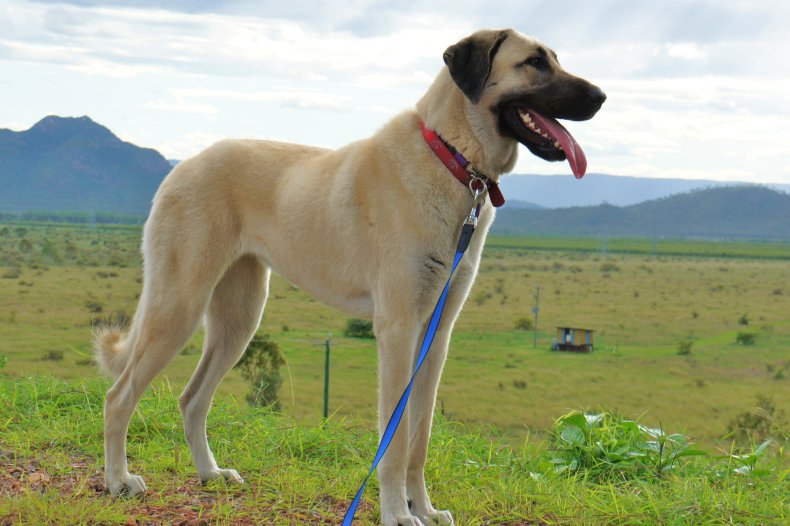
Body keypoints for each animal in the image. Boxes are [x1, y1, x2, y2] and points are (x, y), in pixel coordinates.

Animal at [96, 29, 608, 526]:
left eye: (554, 58)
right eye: (534, 62)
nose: (602, 96)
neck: (451, 155)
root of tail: (182, 165)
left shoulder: (435, 336)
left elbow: (419, 438)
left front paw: (423, 508)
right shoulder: (398, 330)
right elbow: (395, 442)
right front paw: (397, 513)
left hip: (239, 320)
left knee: (192, 399)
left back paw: (209, 473)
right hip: (179, 304)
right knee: (119, 396)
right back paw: (119, 480)